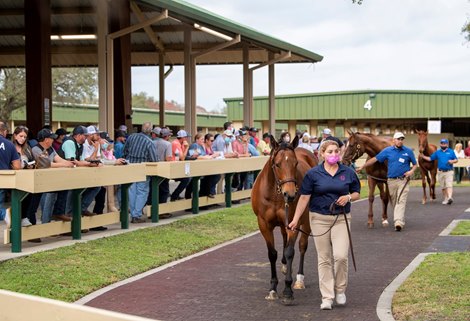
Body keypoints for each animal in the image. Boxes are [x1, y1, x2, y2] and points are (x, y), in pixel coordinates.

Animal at [252, 134, 318, 302]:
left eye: (295, 163)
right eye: (277, 164)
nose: (290, 194)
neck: (275, 195)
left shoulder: (294, 222)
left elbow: (290, 251)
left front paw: (287, 290)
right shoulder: (263, 223)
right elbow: (272, 253)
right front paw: (272, 288)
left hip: (305, 218)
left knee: (302, 245)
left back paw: (299, 279)